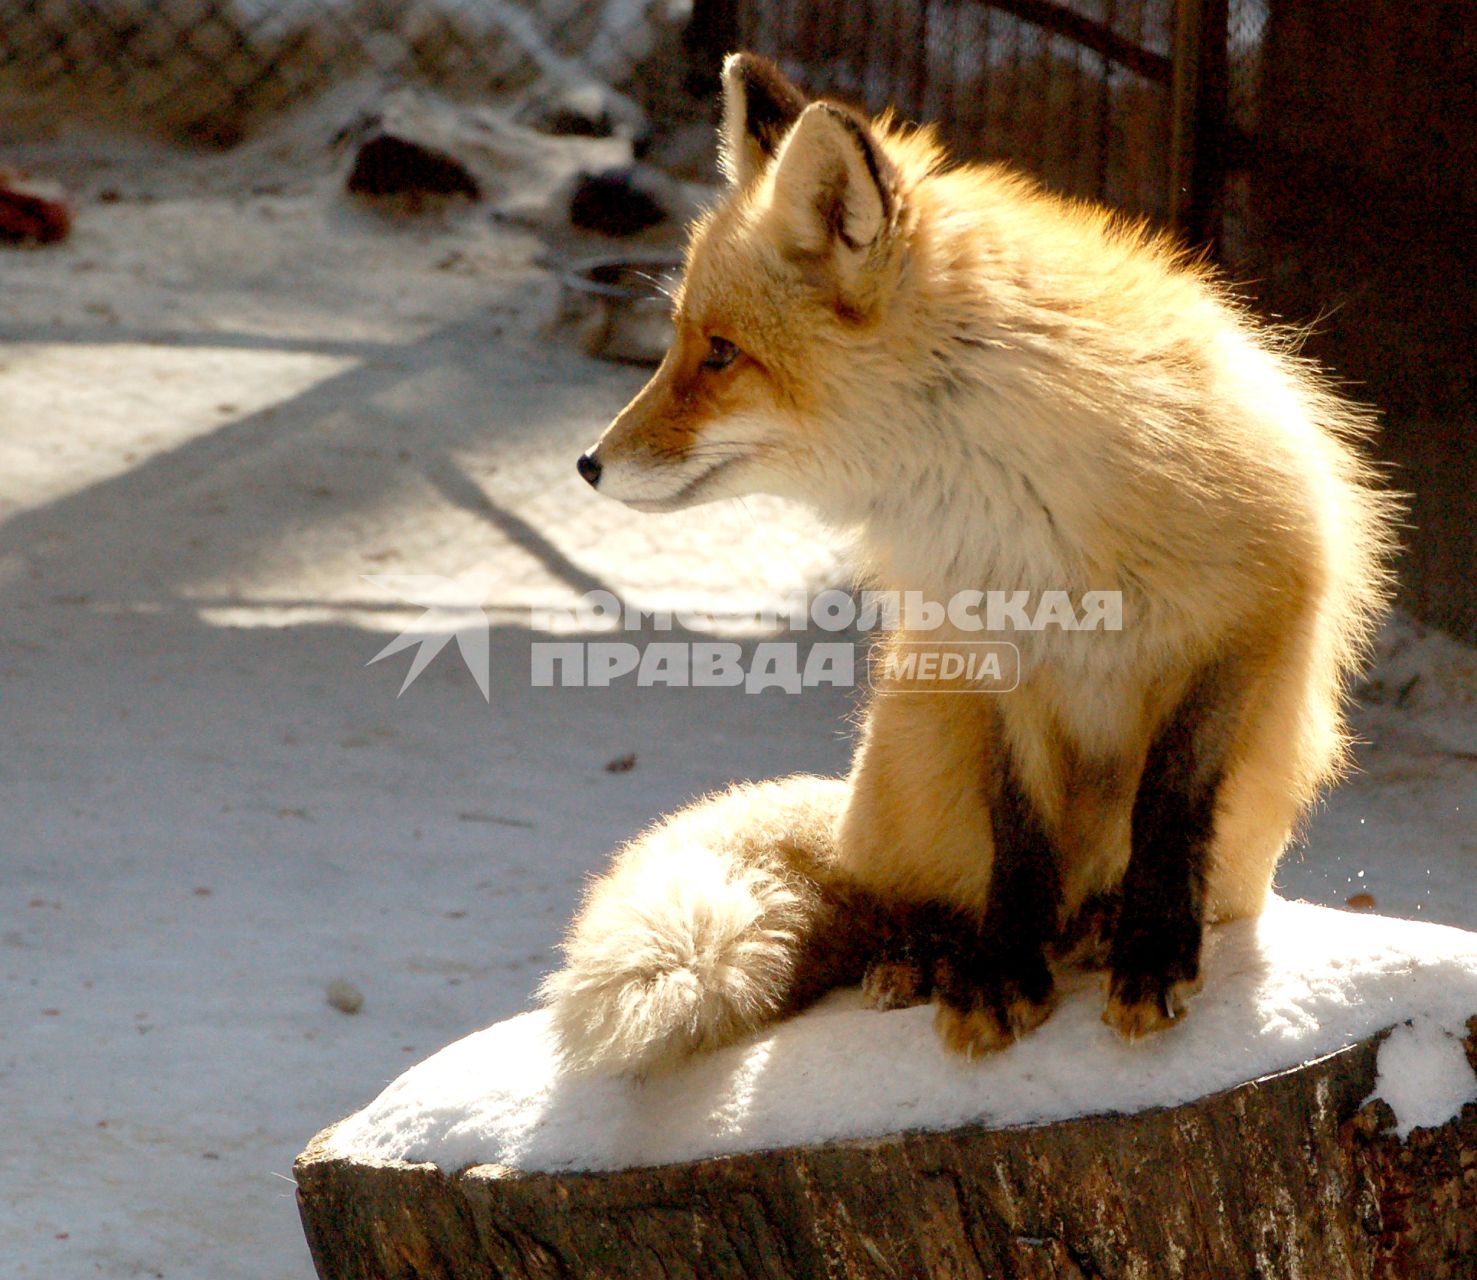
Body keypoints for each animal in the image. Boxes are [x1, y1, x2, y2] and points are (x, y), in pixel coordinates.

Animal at [543, 52, 1394, 1068]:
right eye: (677, 343)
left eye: (720, 354)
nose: (587, 463)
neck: (1024, 510)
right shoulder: (989, 652)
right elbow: (1019, 835)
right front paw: (1000, 979)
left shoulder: (1243, 620)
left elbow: (1168, 806)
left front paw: (1150, 951)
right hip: (915, 722)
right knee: (902, 899)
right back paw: (932, 957)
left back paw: (1094, 928)